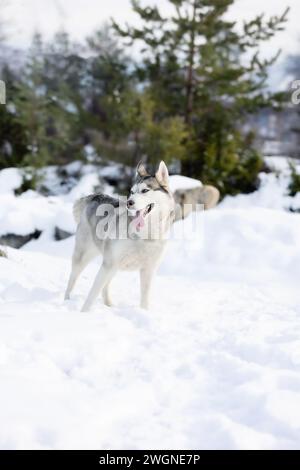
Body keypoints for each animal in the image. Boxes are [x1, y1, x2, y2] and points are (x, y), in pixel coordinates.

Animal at [64, 162, 175, 312]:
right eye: (132, 192)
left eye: (145, 190)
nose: (129, 202)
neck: (145, 235)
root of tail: (94, 196)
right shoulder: (108, 264)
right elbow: (91, 295)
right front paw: (83, 313)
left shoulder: (148, 270)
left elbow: (144, 300)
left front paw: (143, 313)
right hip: (86, 258)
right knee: (72, 280)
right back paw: (66, 301)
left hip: (113, 267)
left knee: (105, 287)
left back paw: (109, 305)